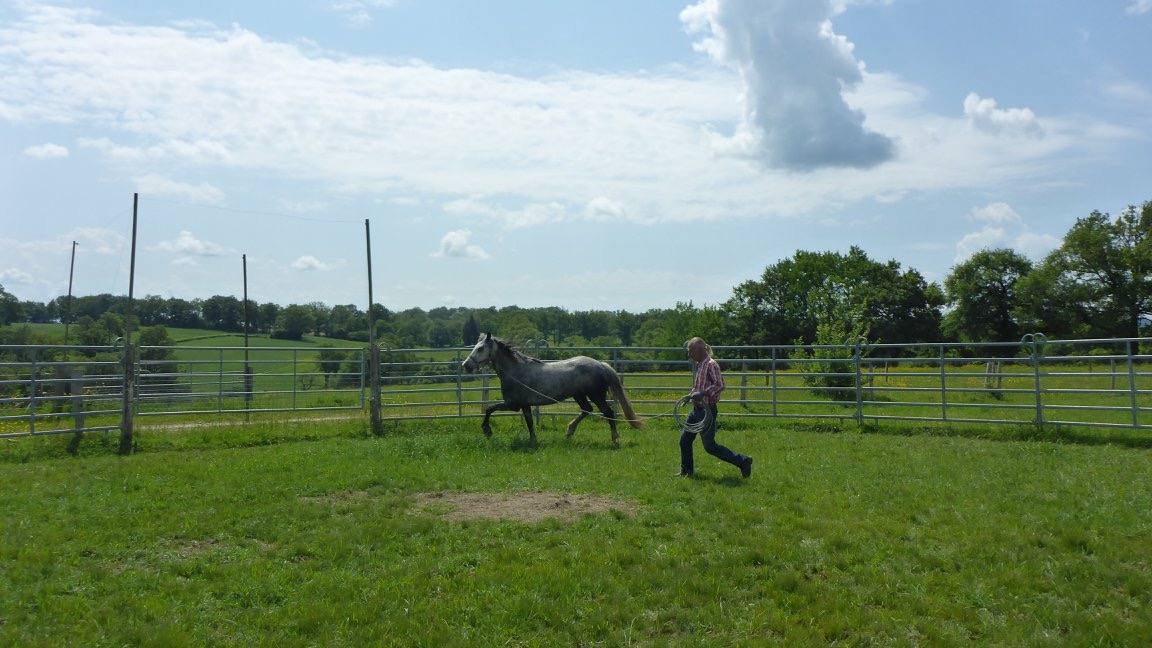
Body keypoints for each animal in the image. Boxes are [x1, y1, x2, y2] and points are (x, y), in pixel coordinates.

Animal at [458, 329, 645, 440]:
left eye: (480, 348)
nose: (466, 365)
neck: (515, 371)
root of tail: (600, 364)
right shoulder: (524, 405)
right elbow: (529, 422)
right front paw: (533, 440)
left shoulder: (513, 404)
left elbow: (490, 409)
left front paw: (487, 430)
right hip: (579, 395)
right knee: (587, 409)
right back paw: (569, 430)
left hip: (596, 395)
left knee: (608, 412)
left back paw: (615, 438)